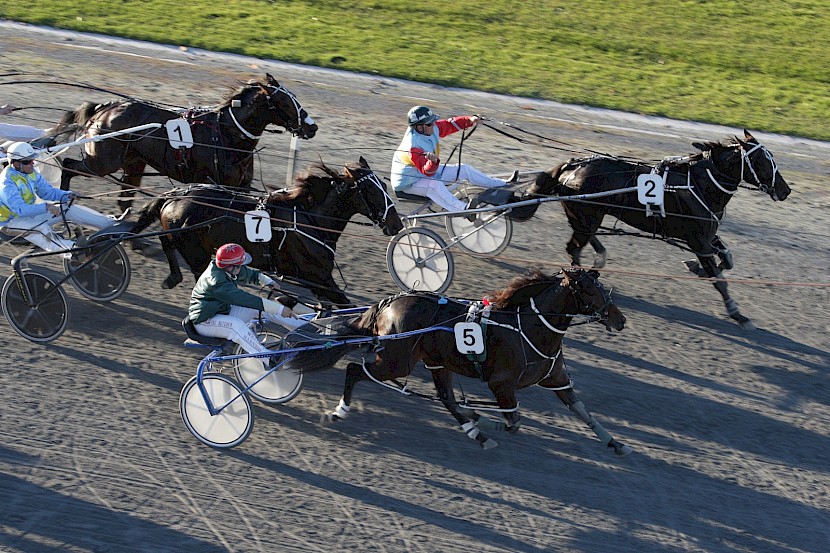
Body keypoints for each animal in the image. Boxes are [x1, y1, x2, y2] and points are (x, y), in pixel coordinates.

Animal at [55, 74, 320, 211]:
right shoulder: (211, 185)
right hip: (102, 162)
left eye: (295, 98)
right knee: (68, 165)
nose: (312, 126)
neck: (227, 136)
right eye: (284, 102)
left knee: (124, 199)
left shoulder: (240, 187)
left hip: (133, 163)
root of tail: (105, 108)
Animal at [128, 157, 404, 308]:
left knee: (166, 241)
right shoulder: (317, 275)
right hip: (194, 249)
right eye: (372, 191)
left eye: (384, 185)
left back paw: (172, 277)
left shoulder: (315, 281)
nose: (397, 225)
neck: (309, 218)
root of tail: (173, 195)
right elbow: (344, 304)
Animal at [306, 268, 632, 452]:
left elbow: (582, 411)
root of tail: (390, 302)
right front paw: (483, 417)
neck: (529, 326)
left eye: (602, 287)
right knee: (354, 369)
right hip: (397, 361)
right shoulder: (501, 386)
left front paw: (616, 443)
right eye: (590, 290)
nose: (620, 319)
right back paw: (338, 412)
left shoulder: (556, 379)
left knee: (447, 399)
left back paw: (476, 433)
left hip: (436, 363)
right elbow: (514, 423)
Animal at [520, 129, 792, 328]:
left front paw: (696, 268)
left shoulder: (707, 236)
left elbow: (727, 258)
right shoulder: (699, 241)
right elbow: (720, 280)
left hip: (587, 217)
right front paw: (737, 313)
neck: (700, 185)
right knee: (574, 248)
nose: (785, 190)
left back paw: (598, 260)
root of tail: (572, 166)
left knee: (584, 241)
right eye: (760, 160)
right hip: (585, 215)